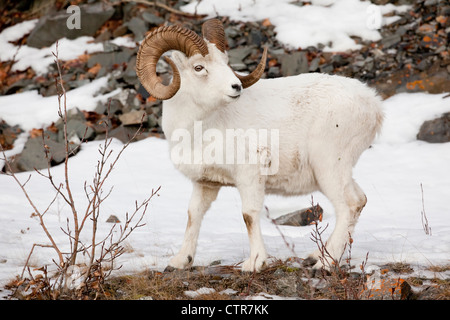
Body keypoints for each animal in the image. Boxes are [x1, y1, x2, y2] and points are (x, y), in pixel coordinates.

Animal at [135, 18, 382, 272]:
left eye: (225, 62)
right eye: (199, 68)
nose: (236, 87)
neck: (201, 128)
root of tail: (373, 105)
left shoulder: (249, 176)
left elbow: (249, 215)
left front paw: (254, 263)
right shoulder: (205, 184)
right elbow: (193, 214)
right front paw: (180, 261)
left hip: (329, 168)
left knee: (349, 205)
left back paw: (324, 263)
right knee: (360, 201)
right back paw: (315, 257)